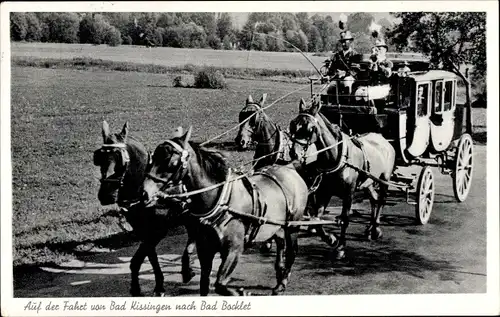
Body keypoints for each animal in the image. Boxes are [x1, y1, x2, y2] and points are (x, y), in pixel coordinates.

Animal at [93, 120, 194, 294]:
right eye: (99, 157)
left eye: (120, 160)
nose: (106, 195)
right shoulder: (143, 230)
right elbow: (148, 257)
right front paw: (152, 285)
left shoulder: (158, 230)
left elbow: (139, 258)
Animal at [143, 127, 310, 296]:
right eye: (152, 158)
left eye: (171, 162)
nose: (144, 192)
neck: (221, 202)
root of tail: (289, 167)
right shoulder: (205, 250)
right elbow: (205, 285)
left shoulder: (234, 249)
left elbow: (220, 284)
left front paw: (241, 292)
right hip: (277, 226)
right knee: (281, 243)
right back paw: (279, 273)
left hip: (292, 225)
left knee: (292, 251)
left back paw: (282, 282)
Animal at [290, 99, 394, 260]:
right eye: (293, 124)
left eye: (310, 128)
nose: (293, 153)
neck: (337, 157)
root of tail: (383, 139)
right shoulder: (324, 193)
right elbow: (316, 219)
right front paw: (331, 239)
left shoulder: (348, 193)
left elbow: (345, 219)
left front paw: (340, 247)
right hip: (367, 182)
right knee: (374, 199)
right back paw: (370, 227)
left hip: (385, 179)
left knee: (381, 200)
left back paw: (376, 228)